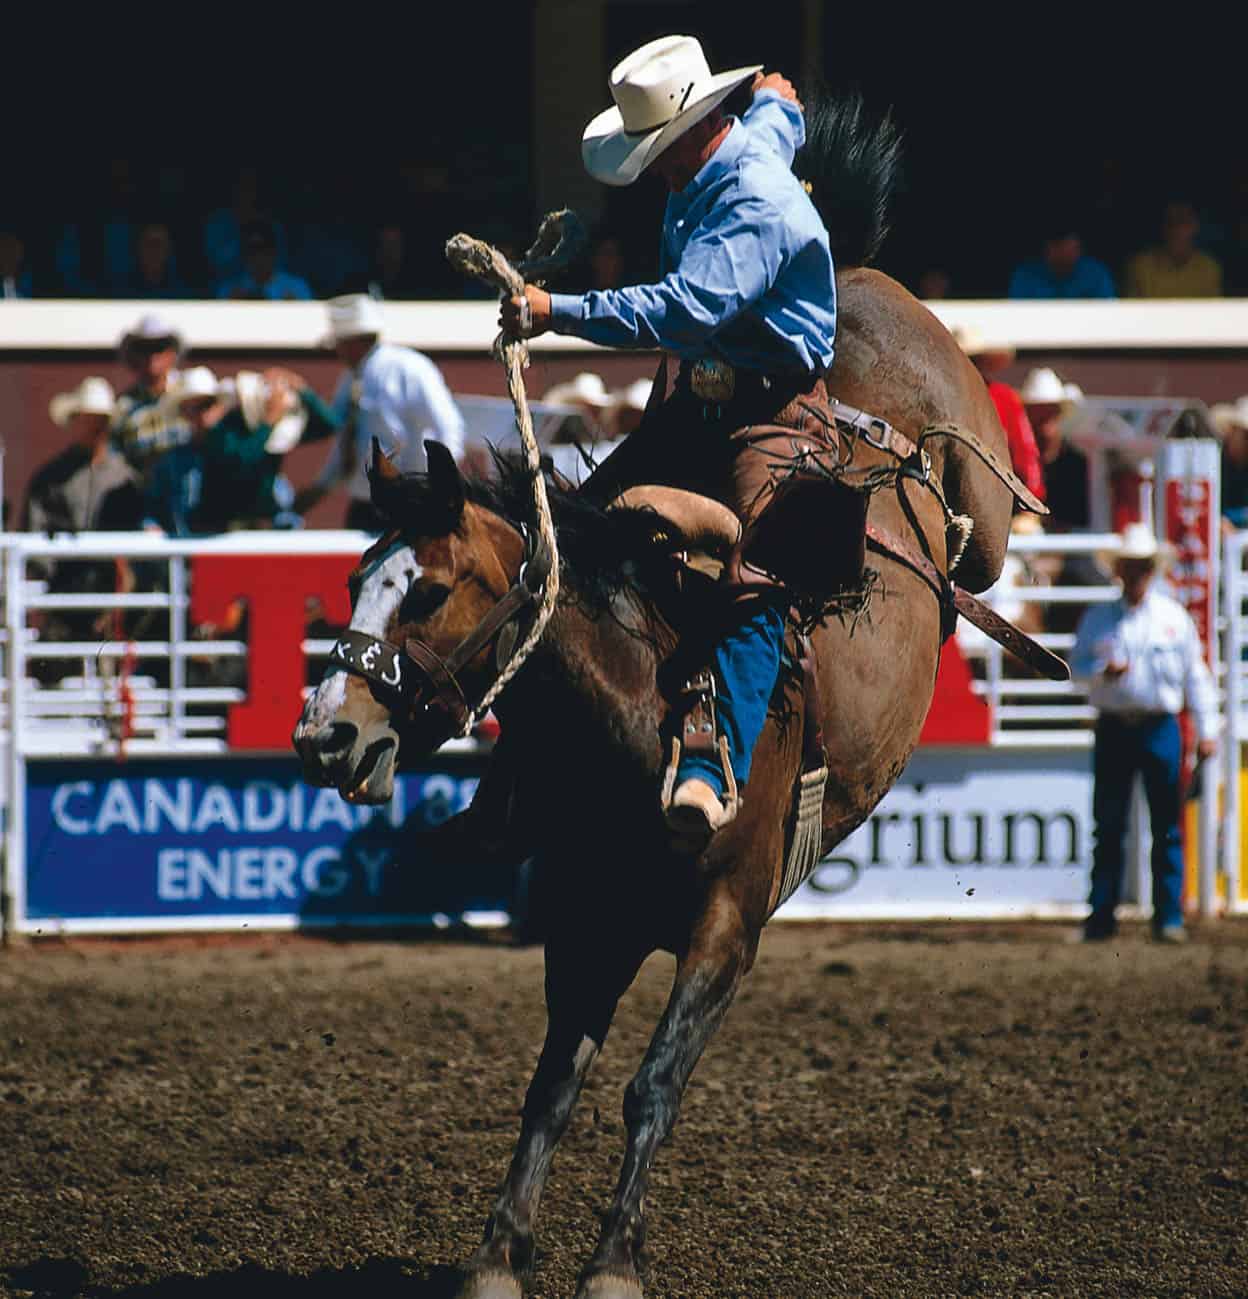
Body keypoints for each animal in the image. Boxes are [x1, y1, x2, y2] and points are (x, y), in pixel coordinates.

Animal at [292, 94, 1059, 1299]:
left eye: (428, 589)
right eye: (358, 575)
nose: (326, 734)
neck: (635, 725)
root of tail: (859, 271)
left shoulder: (726, 926)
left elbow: (650, 1083)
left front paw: (615, 1261)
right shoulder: (584, 920)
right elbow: (553, 1084)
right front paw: (499, 1253)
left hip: (979, 487)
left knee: (978, 540)